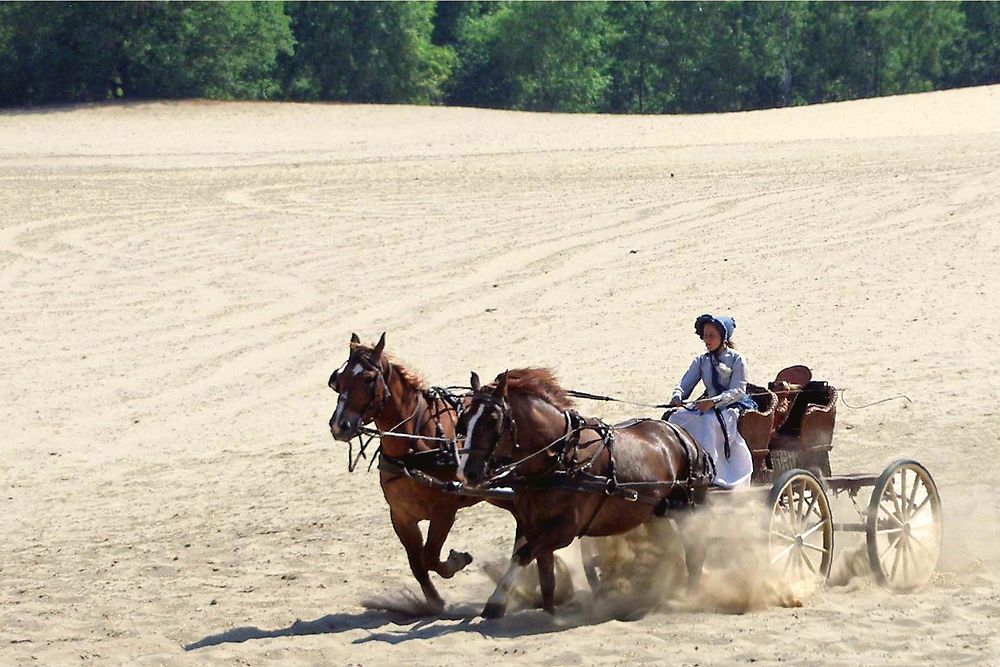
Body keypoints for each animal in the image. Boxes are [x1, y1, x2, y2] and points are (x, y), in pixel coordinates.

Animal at [328, 334, 520, 616]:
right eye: (338, 380)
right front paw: (434, 602)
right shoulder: (401, 515)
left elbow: (429, 556)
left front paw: (457, 561)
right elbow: (417, 562)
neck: (415, 445)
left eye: (368, 379)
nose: (339, 425)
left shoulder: (444, 510)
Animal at [454, 368, 712, 620]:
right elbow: (542, 575)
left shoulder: (565, 530)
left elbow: (523, 555)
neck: (561, 457)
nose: (467, 472)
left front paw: (496, 602)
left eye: (494, 419)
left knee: (694, 551)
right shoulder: (530, 522)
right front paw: (546, 611)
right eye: (464, 420)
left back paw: (687, 596)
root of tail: (684, 436)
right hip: (654, 512)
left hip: (689, 508)